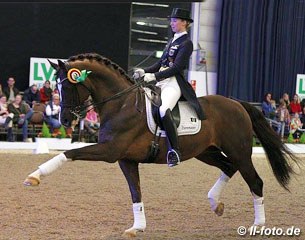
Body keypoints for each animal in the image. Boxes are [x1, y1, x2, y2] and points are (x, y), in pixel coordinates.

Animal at [23, 53, 296, 238]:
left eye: (68, 85)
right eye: (54, 86)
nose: (64, 120)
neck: (121, 104)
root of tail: (237, 104)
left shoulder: (109, 151)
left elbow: (69, 153)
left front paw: (34, 177)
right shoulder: (125, 159)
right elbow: (136, 192)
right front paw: (137, 227)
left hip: (239, 151)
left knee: (255, 181)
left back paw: (257, 225)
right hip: (205, 152)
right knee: (228, 168)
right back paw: (215, 203)